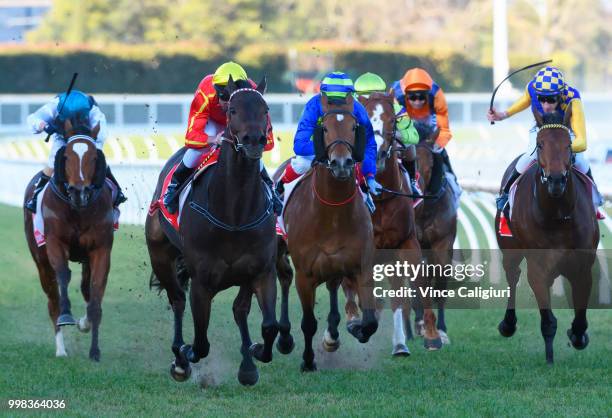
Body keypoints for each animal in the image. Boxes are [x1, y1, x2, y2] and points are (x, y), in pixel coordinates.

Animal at [23, 117, 114, 360]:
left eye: (94, 157)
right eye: (66, 157)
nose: (79, 191)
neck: (78, 210)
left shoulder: (100, 249)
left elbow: (95, 295)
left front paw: (94, 347)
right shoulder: (55, 242)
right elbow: (63, 275)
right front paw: (67, 316)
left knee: (85, 288)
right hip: (40, 260)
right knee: (52, 300)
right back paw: (61, 349)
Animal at [143, 76, 278, 386]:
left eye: (265, 109)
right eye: (233, 111)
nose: (254, 140)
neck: (235, 213)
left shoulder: (262, 271)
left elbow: (269, 326)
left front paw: (254, 353)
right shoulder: (202, 281)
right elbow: (201, 343)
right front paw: (185, 352)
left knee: (239, 310)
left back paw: (247, 365)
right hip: (160, 255)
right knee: (177, 300)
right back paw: (180, 359)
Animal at [276, 94, 378, 372]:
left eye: (354, 128)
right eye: (324, 128)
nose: (341, 163)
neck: (332, 213)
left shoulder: (361, 266)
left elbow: (370, 322)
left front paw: (354, 328)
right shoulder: (305, 275)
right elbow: (308, 322)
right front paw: (308, 361)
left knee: (332, 289)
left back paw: (332, 335)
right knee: (284, 278)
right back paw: (284, 338)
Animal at [356, 93, 442, 354]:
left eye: (393, 120)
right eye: (364, 119)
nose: (378, 153)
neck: (381, 195)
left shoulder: (405, 242)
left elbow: (417, 281)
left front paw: (431, 335)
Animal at [494, 108, 600, 362]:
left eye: (568, 144)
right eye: (540, 144)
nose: (556, 180)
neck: (558, 214)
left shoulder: (583, 264)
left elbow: (580, 316)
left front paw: (577, 335)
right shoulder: (537, 266)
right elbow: (548, 319)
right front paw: (550, 357)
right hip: (510, 250)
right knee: (512, 275)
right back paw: (508, 324)